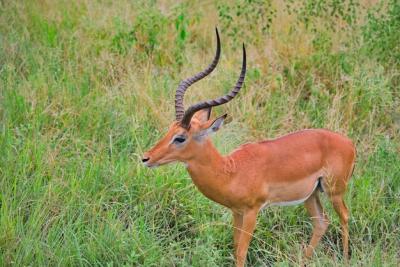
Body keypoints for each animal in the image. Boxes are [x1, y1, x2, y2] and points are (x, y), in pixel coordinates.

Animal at [141, 28, 356, 266]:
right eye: (170, 128)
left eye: (180, 138)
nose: (146, 158)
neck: (231, 170)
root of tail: (349, 143)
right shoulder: (236, 212)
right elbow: (235, 247)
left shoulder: (253, 211)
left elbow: (242, 251)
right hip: (311, 194)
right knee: (321, 222)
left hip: (334, 191)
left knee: (344, 216)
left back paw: (346, 259)